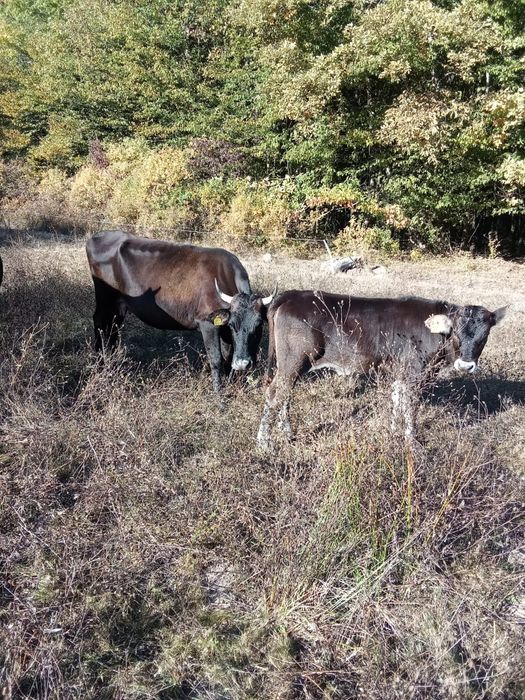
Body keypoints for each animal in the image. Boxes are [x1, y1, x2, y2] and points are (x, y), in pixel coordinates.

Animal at [86, 230, 276, 391]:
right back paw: (100, 362)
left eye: (258, 326)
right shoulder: (207, 322)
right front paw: (219, 397)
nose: (243, 363)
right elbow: (216, 359)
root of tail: (98, 236)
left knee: (113, 328)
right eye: (233, 324)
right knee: (100, 322)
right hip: (105, 297)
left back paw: (111, 362)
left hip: (119, 304)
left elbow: (228, 359)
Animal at [256, 290, 506, 450]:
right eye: (455, 332)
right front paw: (412, 442)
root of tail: (292, 295)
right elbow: (410, 407)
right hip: (293, 361)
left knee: (285, 395)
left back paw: (287, 433)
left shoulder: (400, 373)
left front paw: (394, 432)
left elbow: (397, 400)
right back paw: (264, 443)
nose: (465, 365)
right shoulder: (414, 373)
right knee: (275, 395)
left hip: (292, 365)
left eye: (484, 336)